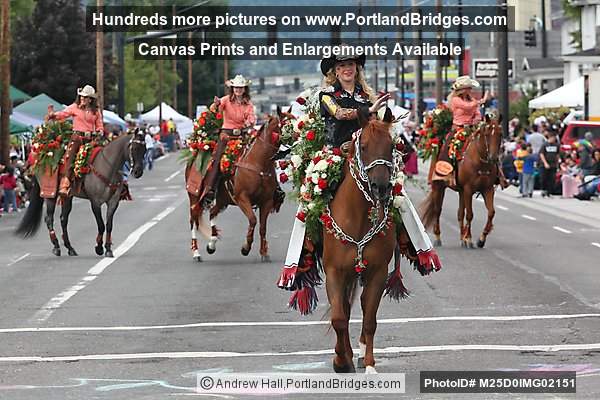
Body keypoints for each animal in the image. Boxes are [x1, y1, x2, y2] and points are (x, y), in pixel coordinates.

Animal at [186, 111, 288, 264]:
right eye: (284, 124)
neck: (258, 164)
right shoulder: (242, 199)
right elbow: (253, 220)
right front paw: (246, 248)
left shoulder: (267, 202)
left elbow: (263, 228)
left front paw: (264, 253)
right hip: (194, 199)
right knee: (193, 221)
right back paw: (196, 253)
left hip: (222, 200)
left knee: (212, 213)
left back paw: (212, 243)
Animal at [322, 107, 400, 376]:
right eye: (363, 146)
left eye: (391, 145)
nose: (381, 187)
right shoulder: (334, 271)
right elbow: (339, 317)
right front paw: (341, 360)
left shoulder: (378, 272)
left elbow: (369, 320)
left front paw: (368, 364)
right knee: (344, 311)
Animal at [420, 112, 504, 248]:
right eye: (486, 134)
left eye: (500, 134)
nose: (493, 158)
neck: (480, 162)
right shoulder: (468, 189)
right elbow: (470, 214)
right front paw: (469, 238)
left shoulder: (487, 189)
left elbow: (491, 212)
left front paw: (481, 239)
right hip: (439, 186)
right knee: (438, 210)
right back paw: (438, 237)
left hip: (461, 191)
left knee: (460, 213)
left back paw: (462, 237)